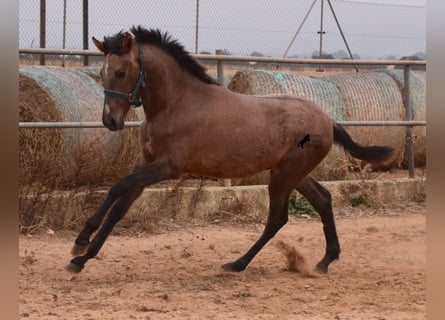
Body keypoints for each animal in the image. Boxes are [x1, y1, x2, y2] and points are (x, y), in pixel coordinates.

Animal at [66, 25, 392, 276]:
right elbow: (119, 206)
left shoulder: (167, 167)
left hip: (284, 175)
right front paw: (81, 257)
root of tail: (328, 120)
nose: (110, 121)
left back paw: (238, 264)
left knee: (277, 219)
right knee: (323, 200)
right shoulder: (144, 162)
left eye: (121, 72)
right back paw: (324, 262)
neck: (176, 104)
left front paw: (80, 242)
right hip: (293, 173)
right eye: (102, 71)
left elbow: (117, 188)